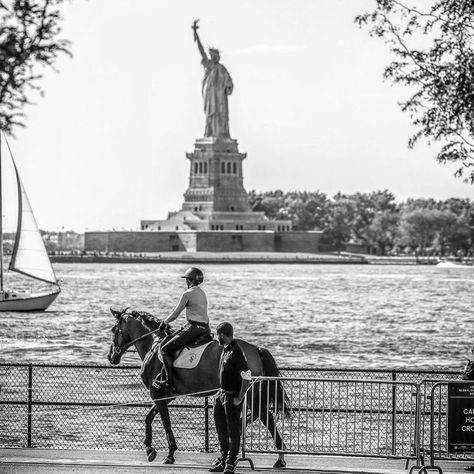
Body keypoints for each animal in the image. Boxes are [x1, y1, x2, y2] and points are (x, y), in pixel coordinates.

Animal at [106, 308, 288, 466]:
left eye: (114, 329)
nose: (111, 356)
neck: (154, 345)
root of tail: (257, 349)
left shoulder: (157, 393)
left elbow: (165, 422)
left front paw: (169, 454)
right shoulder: (166, 396)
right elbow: (149, 417)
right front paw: (150, 449)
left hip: (248, 393)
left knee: (259, 415)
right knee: (266, 417)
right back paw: (279, 457)